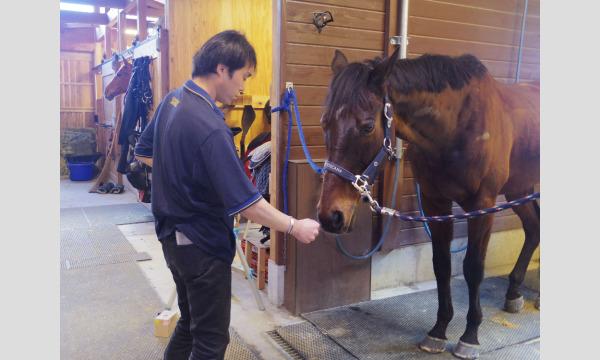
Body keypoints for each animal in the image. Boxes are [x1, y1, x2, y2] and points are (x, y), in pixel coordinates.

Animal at [316, 48, 540, 360]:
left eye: (367, 126)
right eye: (325, 122)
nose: (330, 216)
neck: (456, 127)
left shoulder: (482, 206)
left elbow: (473, 267)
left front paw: (470, 336)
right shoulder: (436, 204)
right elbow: (441, 265)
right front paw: (438, 331)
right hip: (520, 189)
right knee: (533, 228)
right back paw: (514, 294)